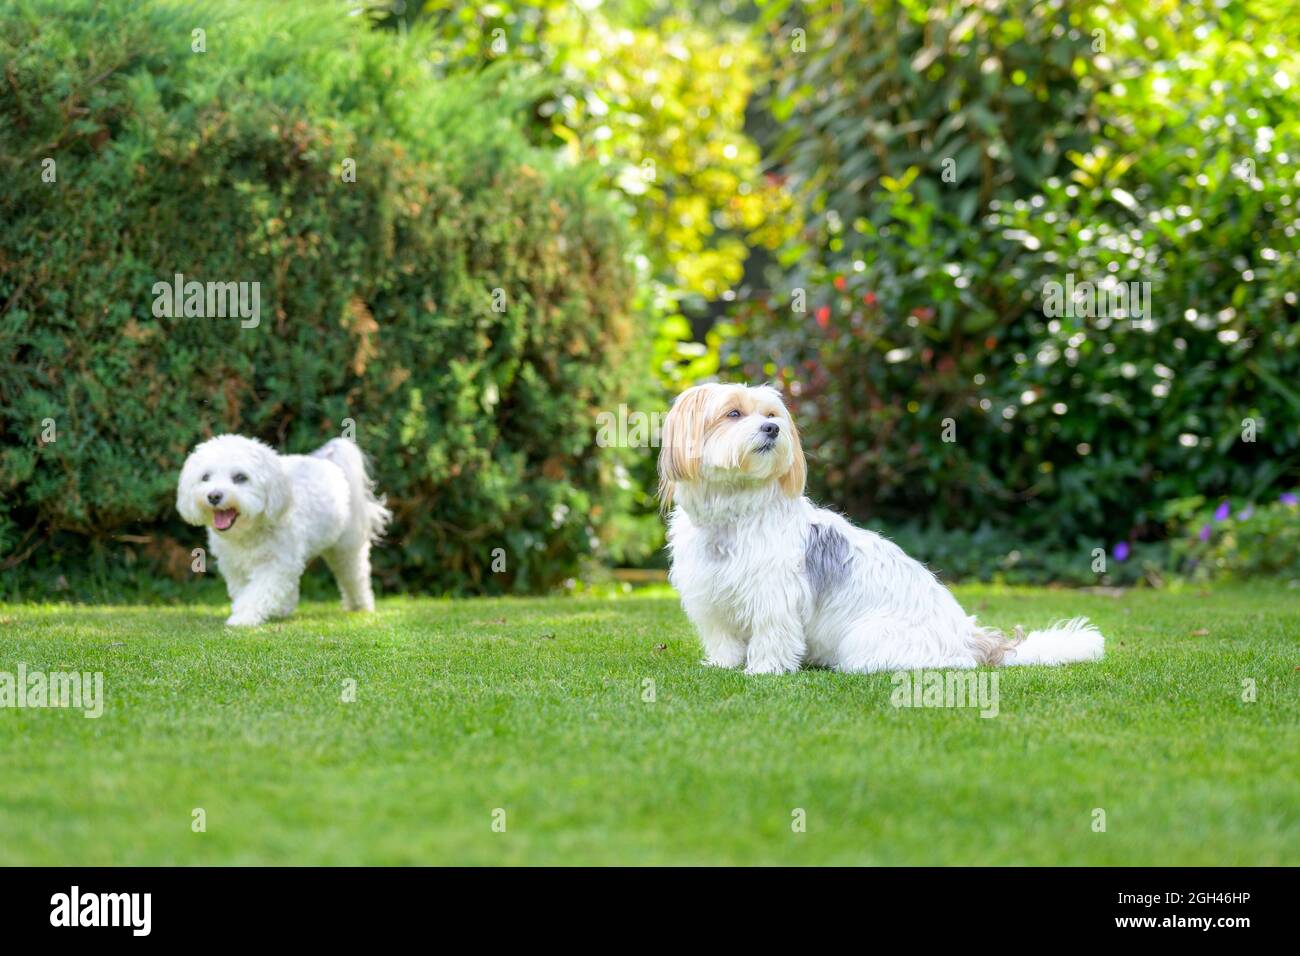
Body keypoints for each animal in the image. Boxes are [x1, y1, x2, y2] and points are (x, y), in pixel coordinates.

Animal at [178, 434, 390, 629]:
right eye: (205, 477)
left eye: (240, 477)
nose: (214, 495)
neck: (248, 531)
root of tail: (329, 462)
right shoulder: (234, 566)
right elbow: (246, 591)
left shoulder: (276, 564)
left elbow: (257, 592)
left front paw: (243, 618)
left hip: (346, 548)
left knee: (354, 576)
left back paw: (360, 605)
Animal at [660, 385, 1107, 676]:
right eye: (733, 413)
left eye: (771, 415)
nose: (772, 429)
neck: (735, 510)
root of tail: (972, 639)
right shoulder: (710, 597)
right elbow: (723, 638)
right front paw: (722, 665)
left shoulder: (775, 597)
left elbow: (772, 636)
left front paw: (764, 671)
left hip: (866, 638)